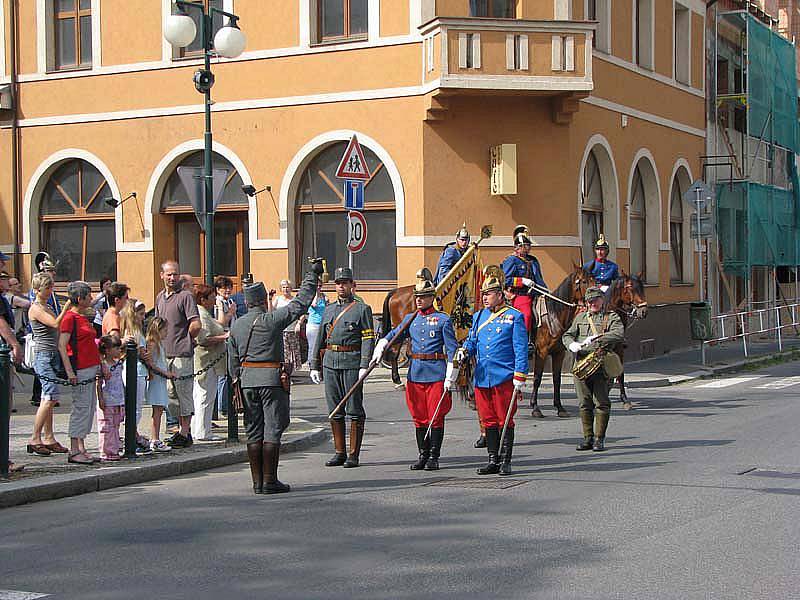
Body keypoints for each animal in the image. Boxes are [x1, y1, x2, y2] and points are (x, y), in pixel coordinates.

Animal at [528, 266, 596, 418]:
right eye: (584, 281)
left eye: (595, 280)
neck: (554, 315)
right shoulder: (541, 353)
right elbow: (537, 378)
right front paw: (535, 408)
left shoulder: (559, 353)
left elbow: (557, 380)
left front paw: (559, 407)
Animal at [604, 276, 648, 408]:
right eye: (631, 289)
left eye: (642, 289)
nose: (644, 311)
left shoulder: (619, 347)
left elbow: (620, 372)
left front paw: (624, 399)